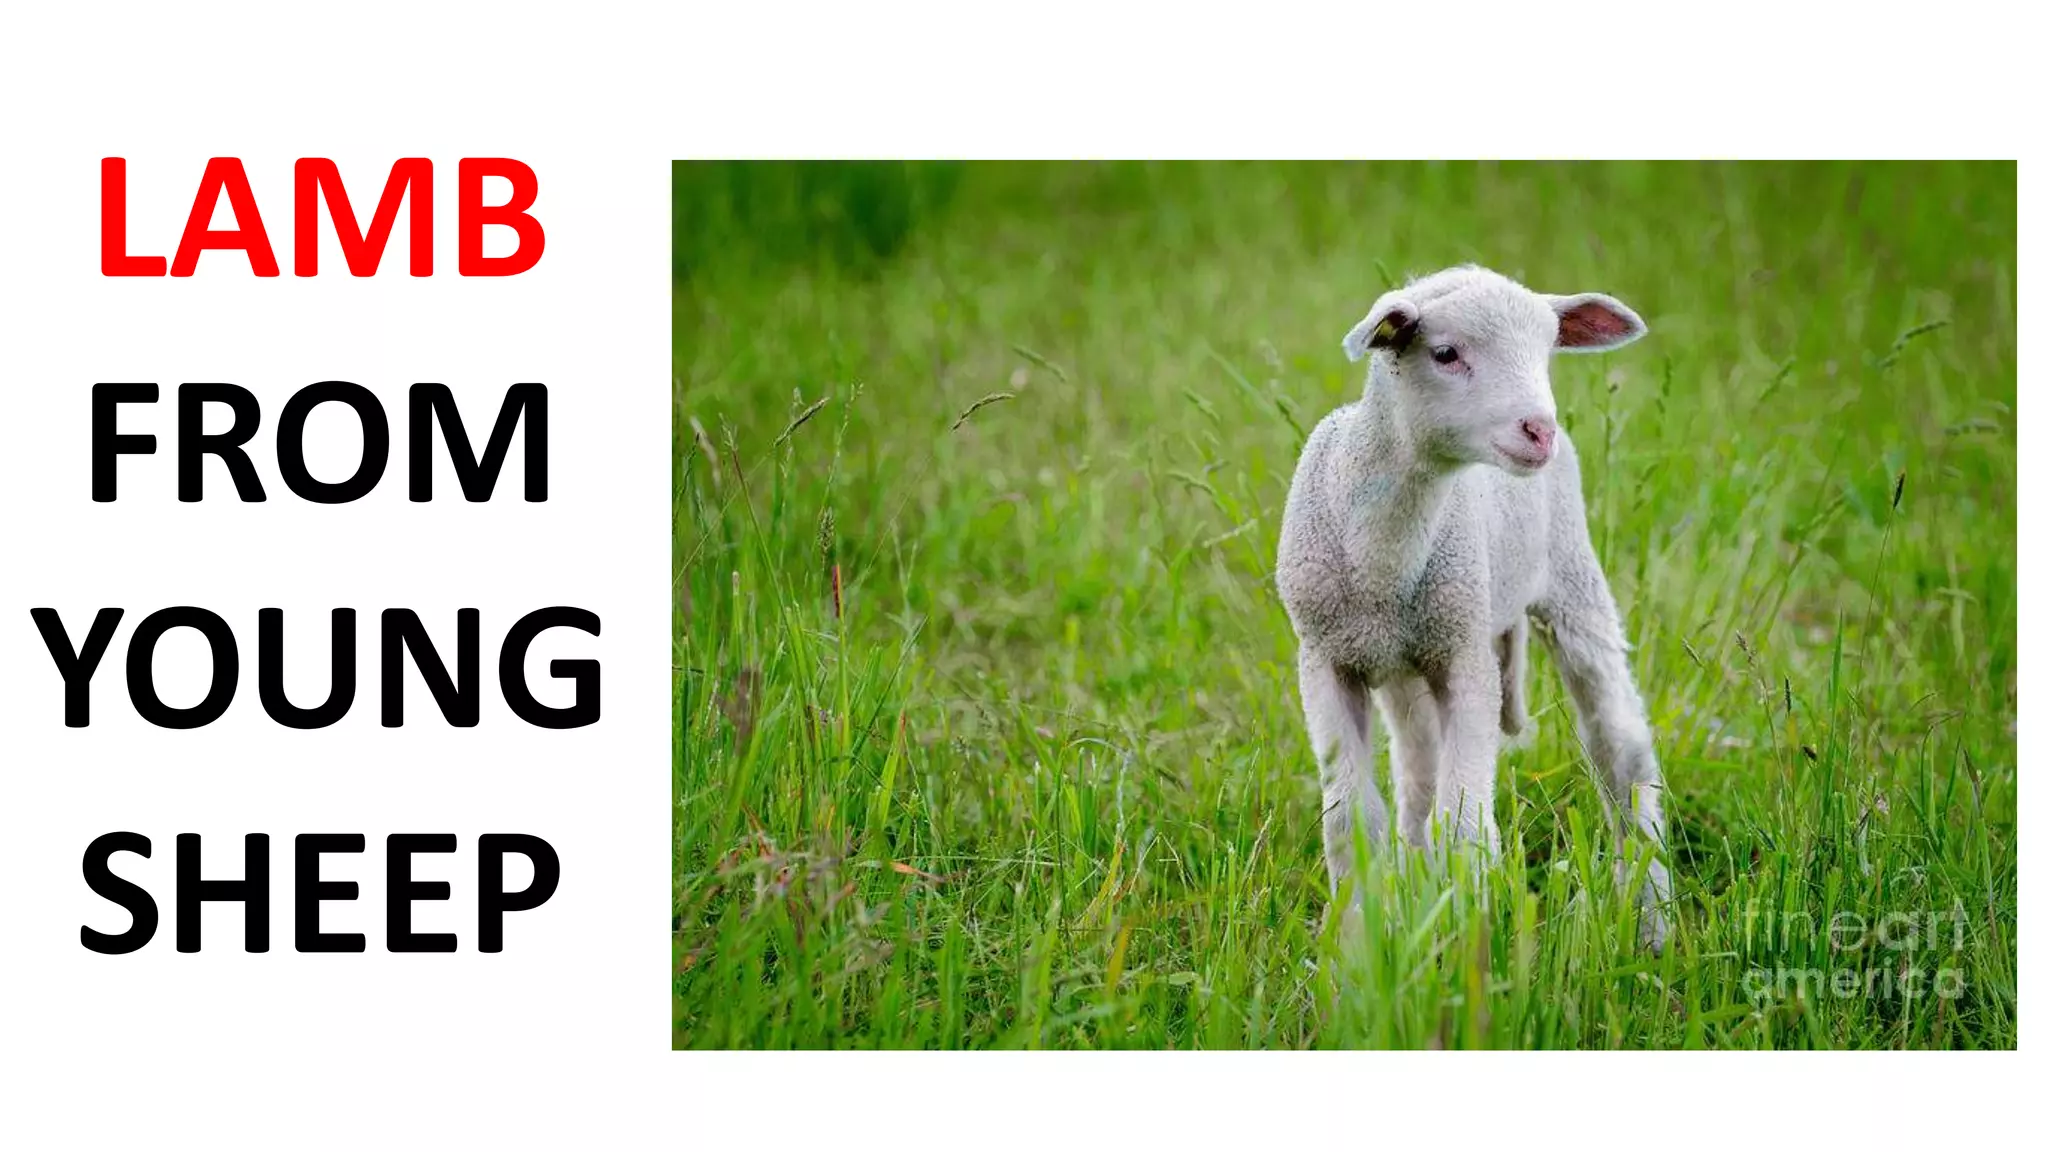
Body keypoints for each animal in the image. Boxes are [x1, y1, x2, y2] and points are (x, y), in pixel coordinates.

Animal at [1275, 264, 1671, 951]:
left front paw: (1468, 939)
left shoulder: (1466, 660)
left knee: (1621, 751)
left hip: (1569, 576)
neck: (1382, 558)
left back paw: (1651, 920)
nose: (1540, 430)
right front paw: (1356, 946)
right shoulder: (1325, 659)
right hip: (1411, 666)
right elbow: (1353, 820)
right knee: (1416, 780)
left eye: (1547, 351)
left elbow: (1462, 824)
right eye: (1444, 354)